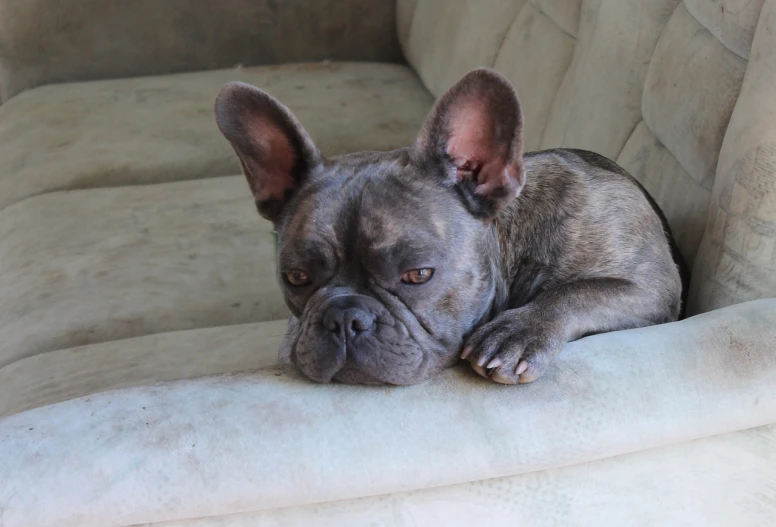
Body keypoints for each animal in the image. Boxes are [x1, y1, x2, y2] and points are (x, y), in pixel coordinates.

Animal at [212, 68, 684, 386]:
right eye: (294, 278)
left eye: (418, 275)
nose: (344, 318)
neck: (512, 249)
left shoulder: (651, 289)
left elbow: (578, 291)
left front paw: (518, 332)